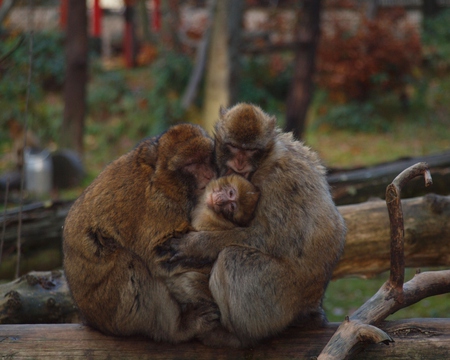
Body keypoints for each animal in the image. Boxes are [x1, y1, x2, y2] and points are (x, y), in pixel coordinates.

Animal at [63, 123, 232, 344]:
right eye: (191, 164)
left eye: (205, 159)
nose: (207, 174)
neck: (161, 177)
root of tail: (89, 319)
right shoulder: (158, 204)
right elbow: (161, 254)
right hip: (110, 312)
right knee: (130, 264)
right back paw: (177, 329)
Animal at [167, 102, 346, 348]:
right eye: (233, 147)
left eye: (251, 151)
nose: (240, 163)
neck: (264, 162)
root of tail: (311, 304)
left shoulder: (281, 179)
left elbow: (271, 237)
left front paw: (197, 245)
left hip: (278, 297)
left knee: (232, 259)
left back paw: (238, 337)